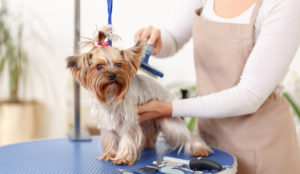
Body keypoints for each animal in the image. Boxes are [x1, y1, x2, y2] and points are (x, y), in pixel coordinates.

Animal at [66, 26, 211, 166]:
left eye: (119, 64)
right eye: (99, 66)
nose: (112, 75)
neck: (111, 93)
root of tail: (168, 94)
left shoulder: (129, 120)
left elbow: (127, 138)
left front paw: (123, 158)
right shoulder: (107, 120)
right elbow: (110, 137)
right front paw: (109, 154)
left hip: (169, 123)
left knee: (188, 135)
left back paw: (200, 149)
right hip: (148, 122)